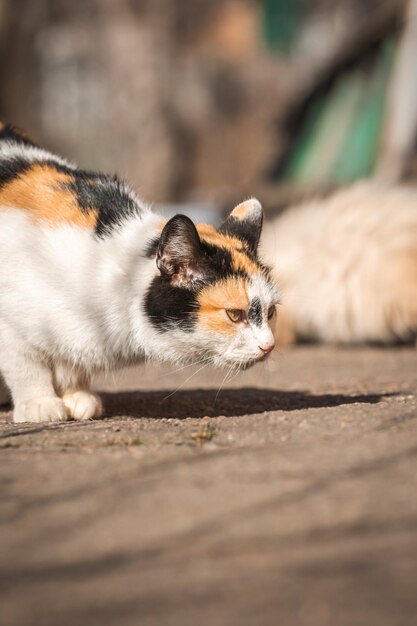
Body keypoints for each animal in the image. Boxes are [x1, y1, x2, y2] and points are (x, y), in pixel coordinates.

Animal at [0, 122, 280, 422]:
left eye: (270, 312)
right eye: (234, 314)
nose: (269, 346)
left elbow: (69, 362)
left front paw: (77, 397)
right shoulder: (10, 322)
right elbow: (26, 364)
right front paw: (40, 404)